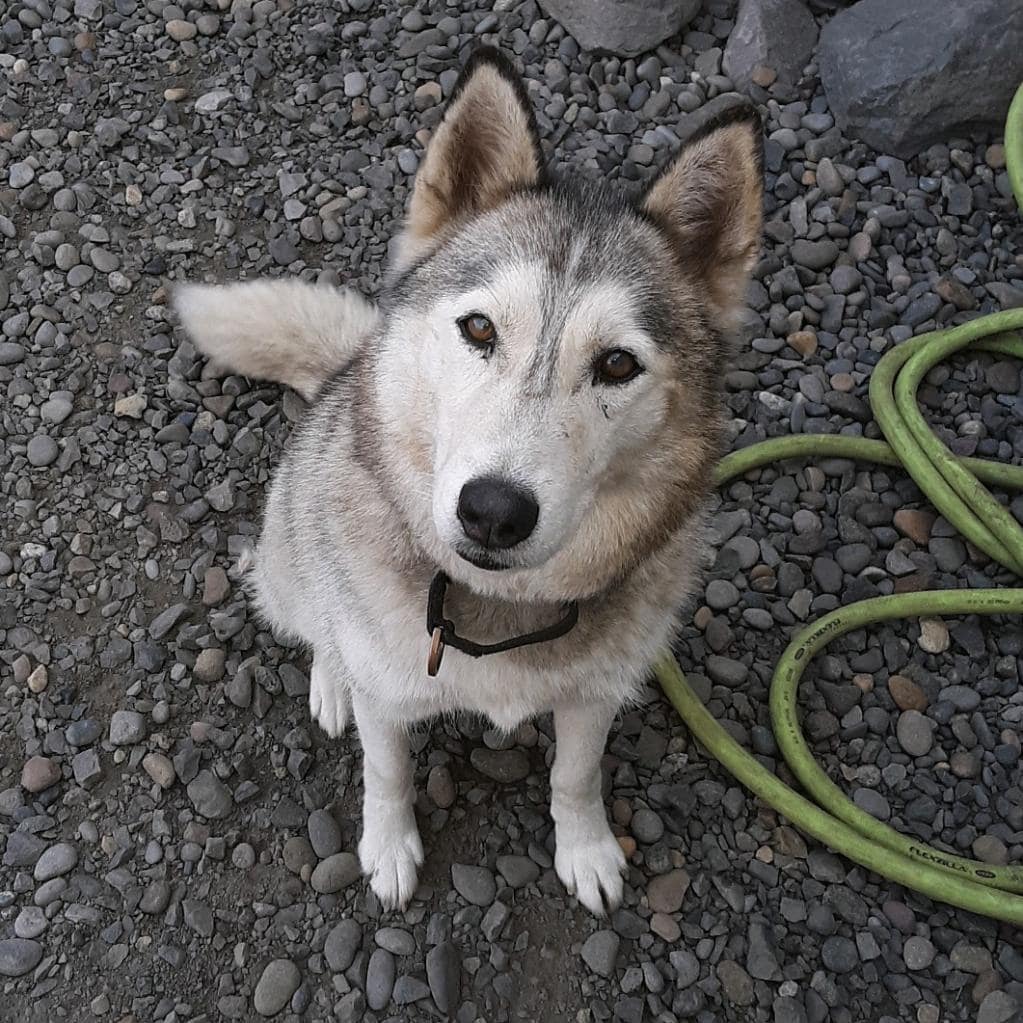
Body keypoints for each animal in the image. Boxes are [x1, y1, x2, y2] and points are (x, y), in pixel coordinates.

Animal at [173, 48, 761, 916]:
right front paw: (387, 847)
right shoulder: (390, 697)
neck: (501, 612)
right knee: (317, 622)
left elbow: (575, 775)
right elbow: (385, 770)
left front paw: (586, 848)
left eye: (617, 364)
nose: (493, 511)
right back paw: (330, 680)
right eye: (479, 328)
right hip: (288, 557)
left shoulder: (595, 694)